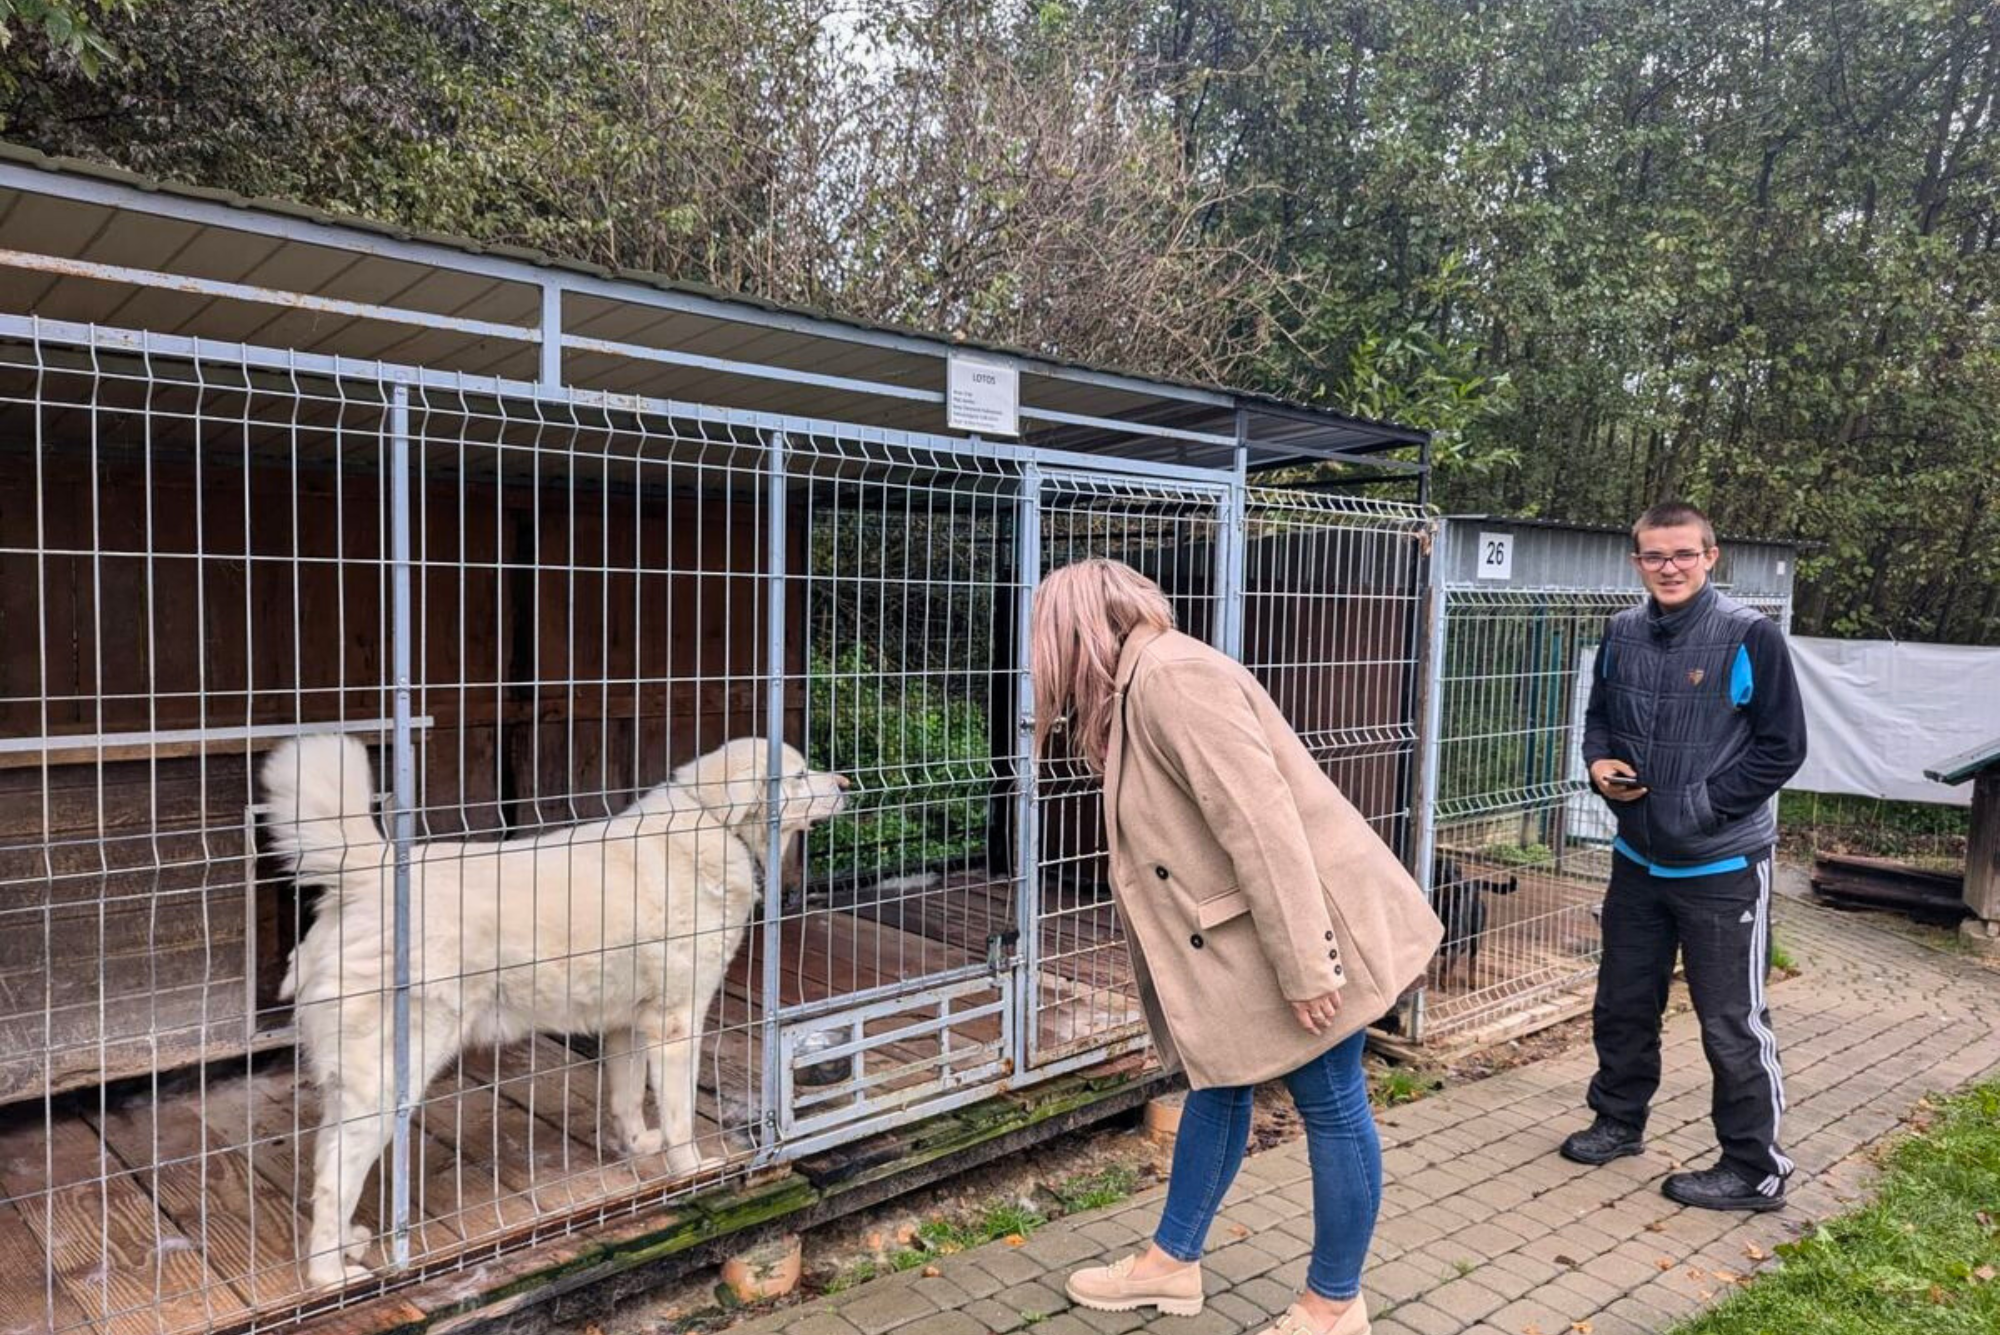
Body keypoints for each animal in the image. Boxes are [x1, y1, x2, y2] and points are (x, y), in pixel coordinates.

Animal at [258, 735, 844, 1287]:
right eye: (796, 775)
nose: (844, 784)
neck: (715, 821)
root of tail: (371, 876)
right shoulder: (676, 1024)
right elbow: (679, 1116)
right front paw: (693, 1169)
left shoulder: (630, 1026)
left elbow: (627, 1098)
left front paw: (637, 1146)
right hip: (388, 1078)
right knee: (334, 1174)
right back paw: (329, 1276)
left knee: (325, 1155)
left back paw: (347, 1246)